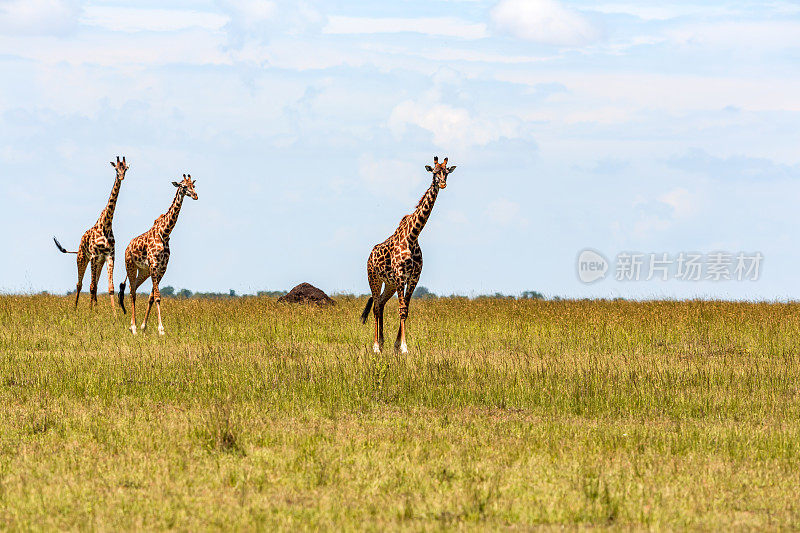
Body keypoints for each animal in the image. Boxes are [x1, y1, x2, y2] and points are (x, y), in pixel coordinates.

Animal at [54, 155, 129, 312]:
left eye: (125, 168)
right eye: (116, 168)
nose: (121, 177)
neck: (106, 224)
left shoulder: (109, 256)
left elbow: (110, 288)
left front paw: (114, 314)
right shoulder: (94, 256)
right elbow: (91, 286)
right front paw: (91, 312)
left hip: (98, 261)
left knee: (94, 285)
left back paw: (94, 306)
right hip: (83, 258)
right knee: (80, 284)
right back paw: (76, 308)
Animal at [118, 172, 198, 334]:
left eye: (193, 185)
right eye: (183, 186)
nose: (195, 195)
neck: (165, 233)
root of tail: (127, 247)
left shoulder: (162, 268)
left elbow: (151, 296)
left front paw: (144, 326)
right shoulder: (154, 265)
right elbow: (157, 297)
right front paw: (161, 329)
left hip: (143, 271)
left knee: (133, 287)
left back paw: (133, 325)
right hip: (130, 266)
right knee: (132, 291)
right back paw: (133, 328)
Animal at [360, 155, 456, 354]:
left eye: (446, 172)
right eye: (434, 172)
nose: (442, 184)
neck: (413, 235)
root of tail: (369, 256)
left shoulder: (414, 277)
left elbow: (406, 309)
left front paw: (397, 345)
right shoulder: (400, 276)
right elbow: (401, 308)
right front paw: (404, 347)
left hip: (388, 283)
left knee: (381, 303)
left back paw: (382, 343)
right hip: (374, 278)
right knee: (375, 307)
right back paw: (375, 346)